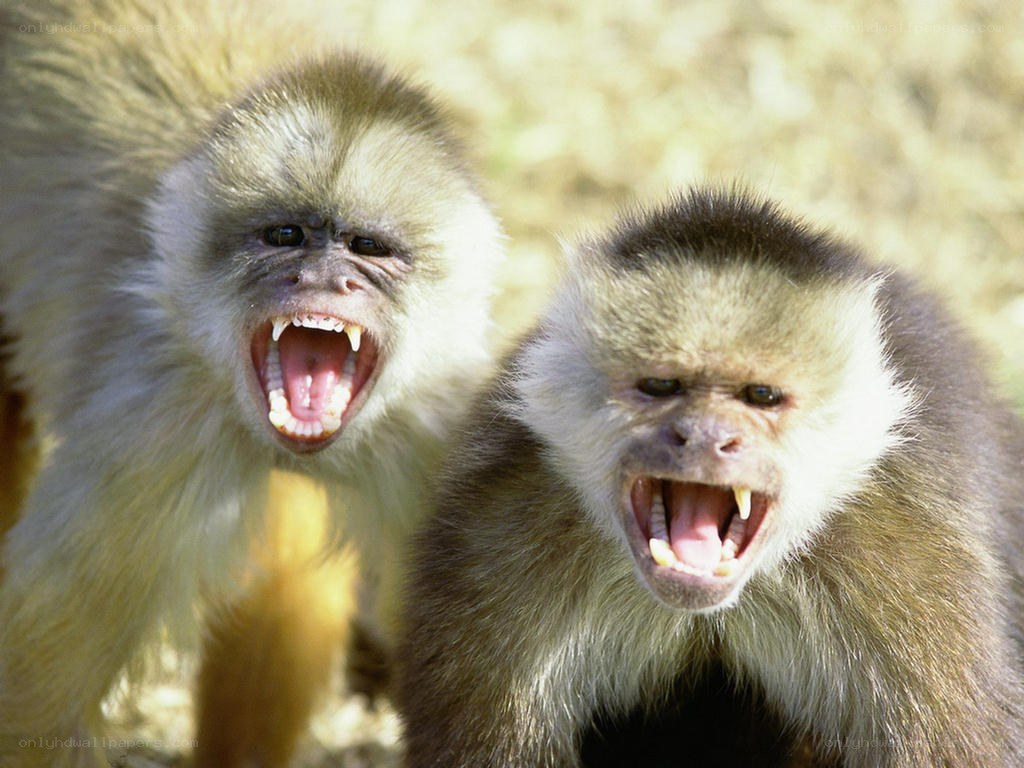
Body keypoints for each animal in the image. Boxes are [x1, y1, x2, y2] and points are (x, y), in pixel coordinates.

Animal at [0, 1, 504, 765]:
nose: (321, 278)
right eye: (285, 235)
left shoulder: (441, 433)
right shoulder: (153, 433)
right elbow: (34, 701)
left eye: (367, 248)